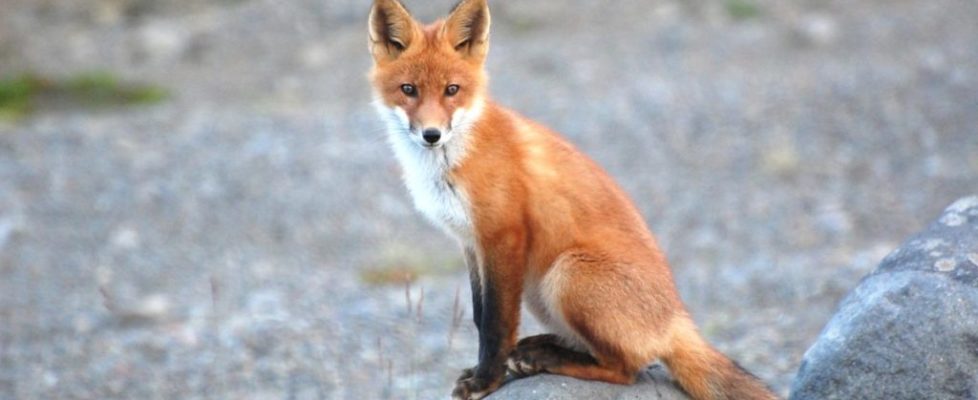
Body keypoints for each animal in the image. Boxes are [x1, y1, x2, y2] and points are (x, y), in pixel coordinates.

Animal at [366, 0, 776, 400]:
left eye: (452, 90)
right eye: (408, 89)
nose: (432, 134)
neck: (453, 160)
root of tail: (676, 319)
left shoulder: (502, 235)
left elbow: (496, 323)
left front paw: (486, 381)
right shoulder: (470, 242)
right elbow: (480, 315)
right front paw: (487, 372)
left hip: (566, 274)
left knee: (626, 368)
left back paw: (548, 358)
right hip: (539, 291)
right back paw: (538, 348)